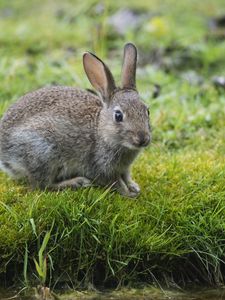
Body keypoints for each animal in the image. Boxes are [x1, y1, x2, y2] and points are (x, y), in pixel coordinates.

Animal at [0, 42, 151, 197]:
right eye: (118, 116)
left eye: (147, 111)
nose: (143, 139)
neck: (101, 131)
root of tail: (5, 154)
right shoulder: (100, 167)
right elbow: (115, 182)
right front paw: (129, 194)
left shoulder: (124, 168)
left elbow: (126, 177)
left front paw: (134, 187)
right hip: (42, 153)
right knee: (42, 185)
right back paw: (77, 182)